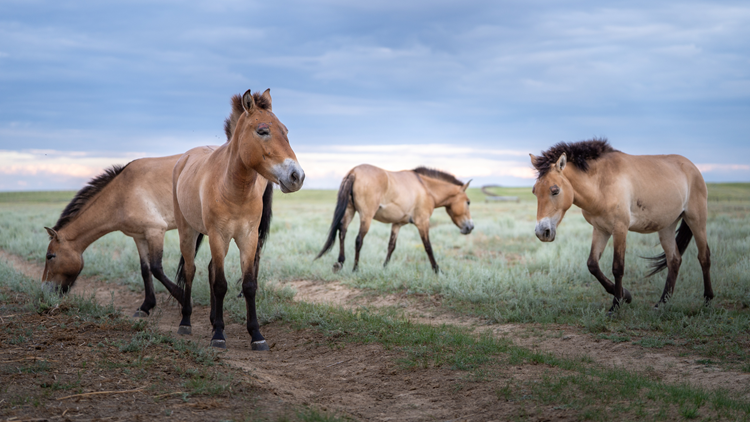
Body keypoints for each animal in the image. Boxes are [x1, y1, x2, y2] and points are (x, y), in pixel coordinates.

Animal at [173, 89, 304, 350]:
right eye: (262, 131)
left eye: (285, 130)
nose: (297, 176)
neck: (234, 188)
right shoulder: (218, 235)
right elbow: (220, 284)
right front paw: (219, 335)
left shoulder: (248, 237)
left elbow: (249, 284)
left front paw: (256, 334)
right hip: (188, 232)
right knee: (191, 271)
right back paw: (186, 322)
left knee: (210, 269)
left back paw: (213, 319)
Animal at [316, 164, 474, 274]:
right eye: (468, 202)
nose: (470, 227)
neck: (425, 188)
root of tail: (354, 172)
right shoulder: (422, 222)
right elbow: (428, 247)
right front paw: (437, 270)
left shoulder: (397, 224)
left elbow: (391, 246)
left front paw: (384, 268)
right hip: (366, 217)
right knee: (358, 240)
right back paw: (355, 269)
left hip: (349, 211)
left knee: (342, 232)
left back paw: (340, 263)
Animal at [530, 138, 712, 311]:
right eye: (534, 192)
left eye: (555, 190)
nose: (542, 232)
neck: (601, 184)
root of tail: (693, 167)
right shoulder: (600, 229)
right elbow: (592, 265)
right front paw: (626, 295)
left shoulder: (620, 229)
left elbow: (618, 267)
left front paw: (616, 305)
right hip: (666, 226)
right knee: (674, 260)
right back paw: (661, 304)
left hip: (697, 221)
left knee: (704, 257)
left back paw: (708, 301)